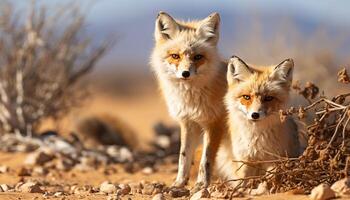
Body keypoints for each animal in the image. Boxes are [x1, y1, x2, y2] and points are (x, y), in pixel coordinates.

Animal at [150, 11, 227, 190]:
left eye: (198, 57)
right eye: (175, 56)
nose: (185, 73)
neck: (191, 101)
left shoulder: (214, 124)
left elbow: (206, 159)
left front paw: (202, 184)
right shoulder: (187, 122)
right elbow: (183, 156)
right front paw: (179, 183)